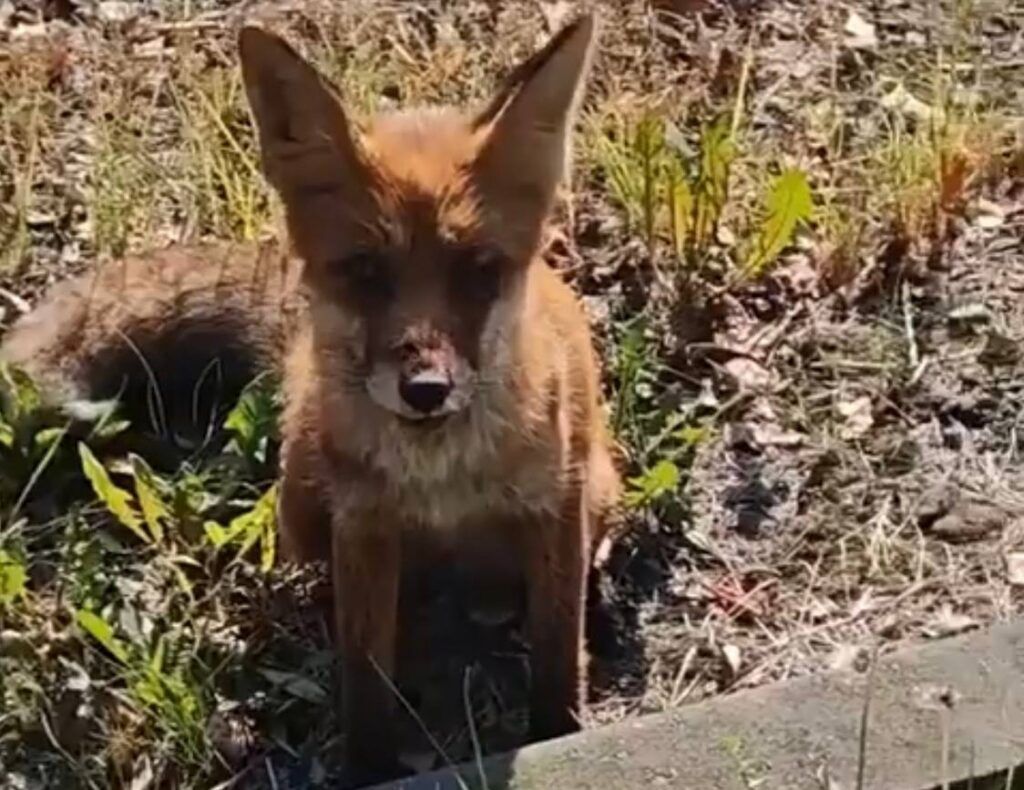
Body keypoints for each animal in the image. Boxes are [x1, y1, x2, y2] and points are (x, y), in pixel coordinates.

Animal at [1, 12, 621, 786]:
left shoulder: (553, 505)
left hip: (598, 488)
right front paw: (370, 765)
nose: (425, 390)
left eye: (480, 270)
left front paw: (559, 729)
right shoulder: (363, 525)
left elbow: (558, 655)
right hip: (300, 503)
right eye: (364, 271)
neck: (443, 481)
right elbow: (365, 678)